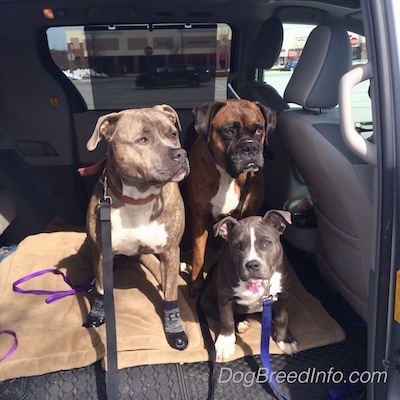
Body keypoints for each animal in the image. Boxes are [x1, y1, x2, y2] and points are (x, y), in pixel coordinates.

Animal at [82, 105, 190, 350]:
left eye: (173, 134)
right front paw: (97, 313)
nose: (180, 153)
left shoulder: (170, 251)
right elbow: (102, 288)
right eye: (142, 139)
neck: (139, 198)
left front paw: (174, 329)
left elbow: (171, 294)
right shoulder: (101, 252)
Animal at [186, 97, 276, 296]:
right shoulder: (199, 220)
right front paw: (196, 285)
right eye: (229, 131)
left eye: (259, 130)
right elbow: (198, 256)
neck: (228, 176)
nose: (250, 147)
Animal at [200, 209, 296, 362]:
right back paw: (241, 323)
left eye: (266, 242)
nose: (252, 264)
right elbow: (227, 319)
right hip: (207, 302)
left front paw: (285, 339)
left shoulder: (285, 295)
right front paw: (225, 343)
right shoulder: (225, 297)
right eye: (237, 246)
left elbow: (282, 318)